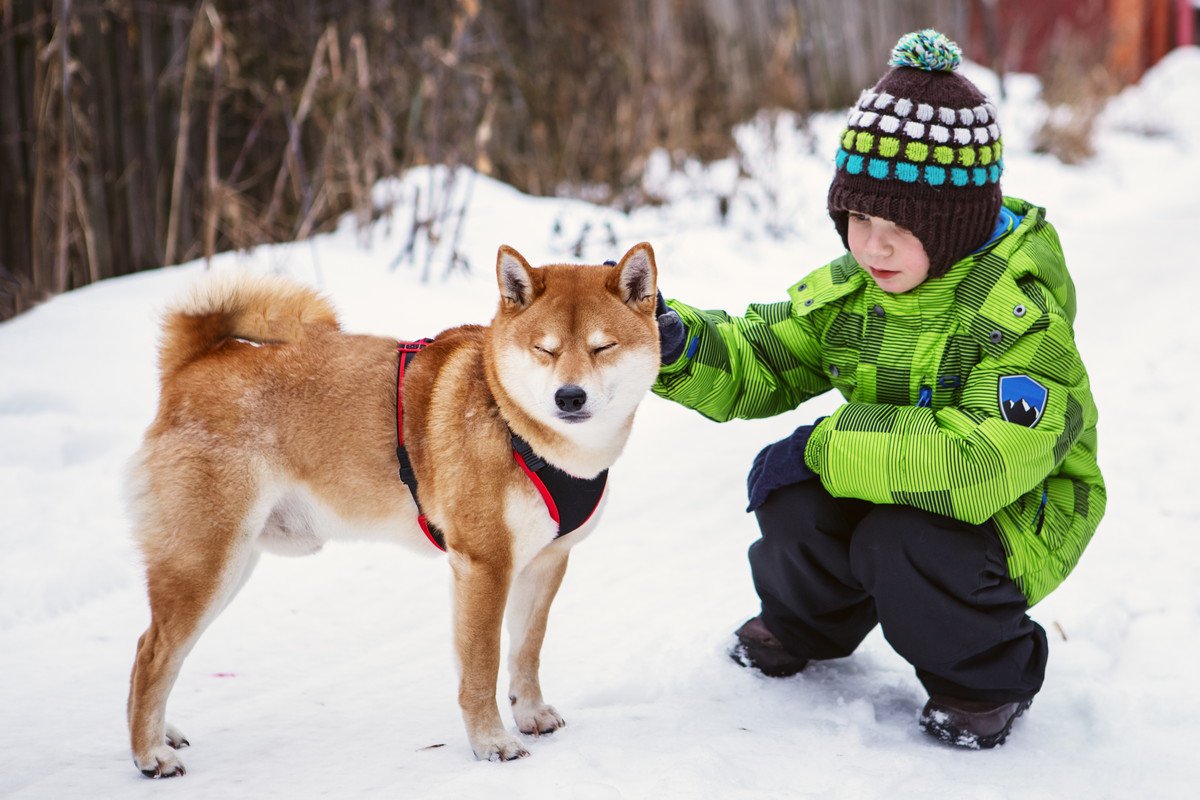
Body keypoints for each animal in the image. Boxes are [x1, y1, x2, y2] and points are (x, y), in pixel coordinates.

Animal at [126, 242, 662, 777]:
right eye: (544, 349)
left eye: (603, 347)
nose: (569, 396)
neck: (514, 424)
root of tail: (193, 363)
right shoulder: (484, 565)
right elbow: (482, 667)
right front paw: (491, 742)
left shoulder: (546, 560)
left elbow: (526, 650)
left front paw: (529, 713)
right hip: (206, 562)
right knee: (152, 653)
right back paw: (150, 753)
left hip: (230, 563)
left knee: (156, 649)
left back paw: (161, 734)